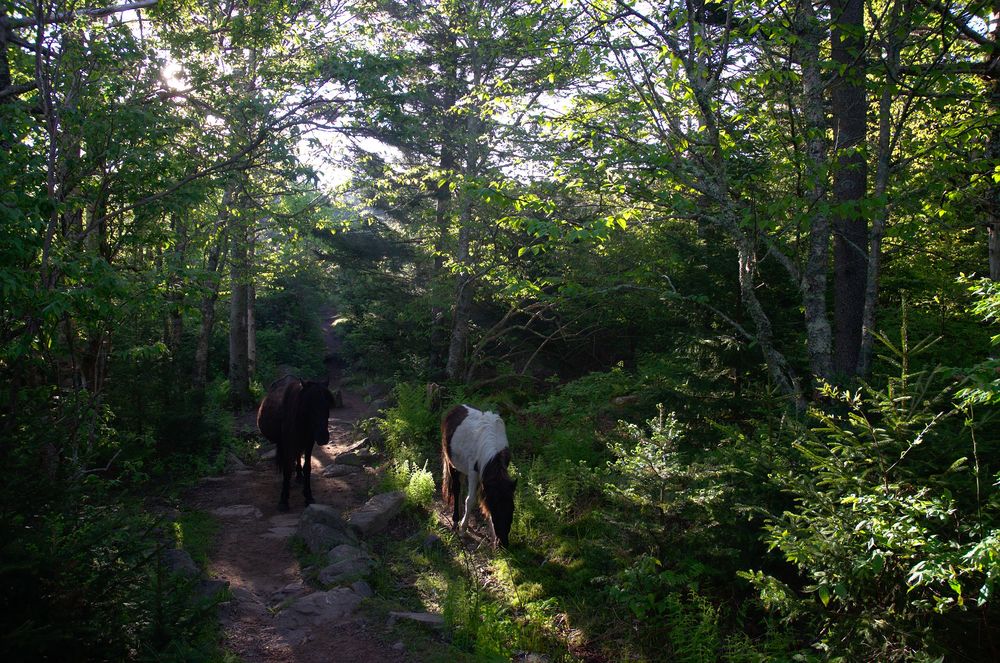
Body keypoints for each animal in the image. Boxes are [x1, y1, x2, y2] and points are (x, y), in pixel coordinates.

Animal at [257, 375, 339, 512]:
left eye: (327, 405)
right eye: (309, 405)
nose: (323, 437)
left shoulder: (309, 442)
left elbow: (307, 467)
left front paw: (308, 496)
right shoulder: (288, 442)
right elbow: (287, 468)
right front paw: (284, 500)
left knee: (297, 456)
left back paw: (299, 476)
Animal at [441, 404, 517, 548]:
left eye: (512, 510)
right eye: (496, 510)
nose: (503, 543)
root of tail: (456, 408)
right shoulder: (474, 473)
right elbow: (471, 500)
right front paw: (463, 529)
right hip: (452, 464)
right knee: (456, 489)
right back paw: (455, 520)